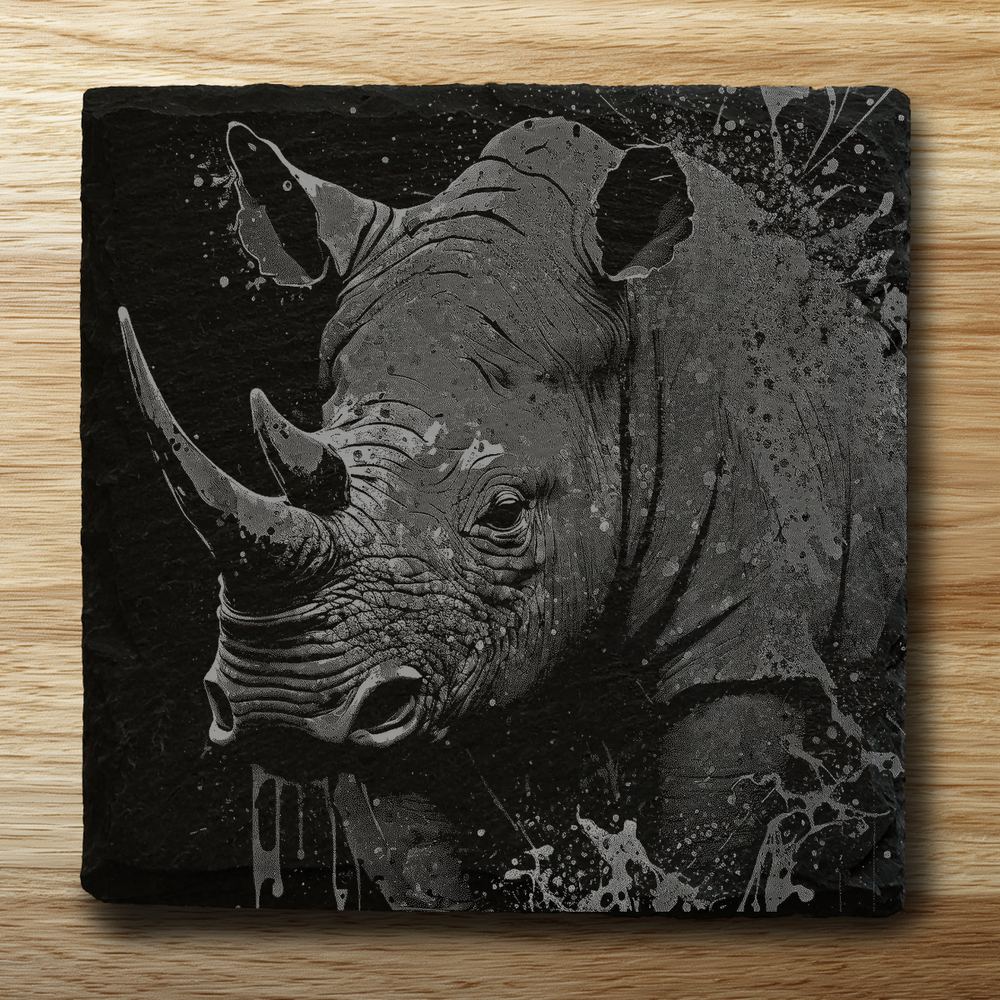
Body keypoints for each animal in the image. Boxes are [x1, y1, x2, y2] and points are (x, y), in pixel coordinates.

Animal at [119, 114, 905, 912]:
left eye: (504, 514)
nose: (278, 709)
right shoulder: (390, 680)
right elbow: (419, 866)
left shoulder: (747, 644)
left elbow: (700, 855)